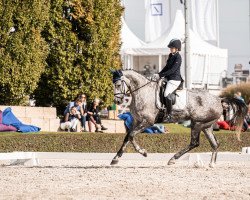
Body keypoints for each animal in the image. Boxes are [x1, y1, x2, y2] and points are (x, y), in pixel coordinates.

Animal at [110, 70, 247, 167]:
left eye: (118, 84)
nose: (117, 101)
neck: (143, 92)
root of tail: (219, 100)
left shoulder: (147, 122)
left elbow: (131, 135)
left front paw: (143, 152)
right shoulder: (136, 121)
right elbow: (128, 137)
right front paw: (115, 159)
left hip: (197, 123)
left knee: (194, 143)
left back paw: (173, 159)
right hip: (206, 126)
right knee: (215, 143)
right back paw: (211, 164)